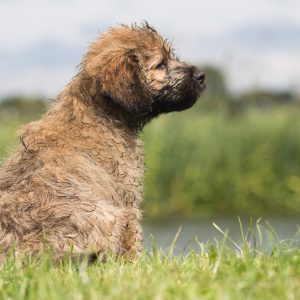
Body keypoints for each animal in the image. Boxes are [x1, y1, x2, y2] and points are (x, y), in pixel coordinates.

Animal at [0, 23, 204, 262]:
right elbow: (132, 240)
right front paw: (134, 265)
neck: (100, 111)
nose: (202, 75)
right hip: (107, 216)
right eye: (161, 64)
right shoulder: (127, 201)